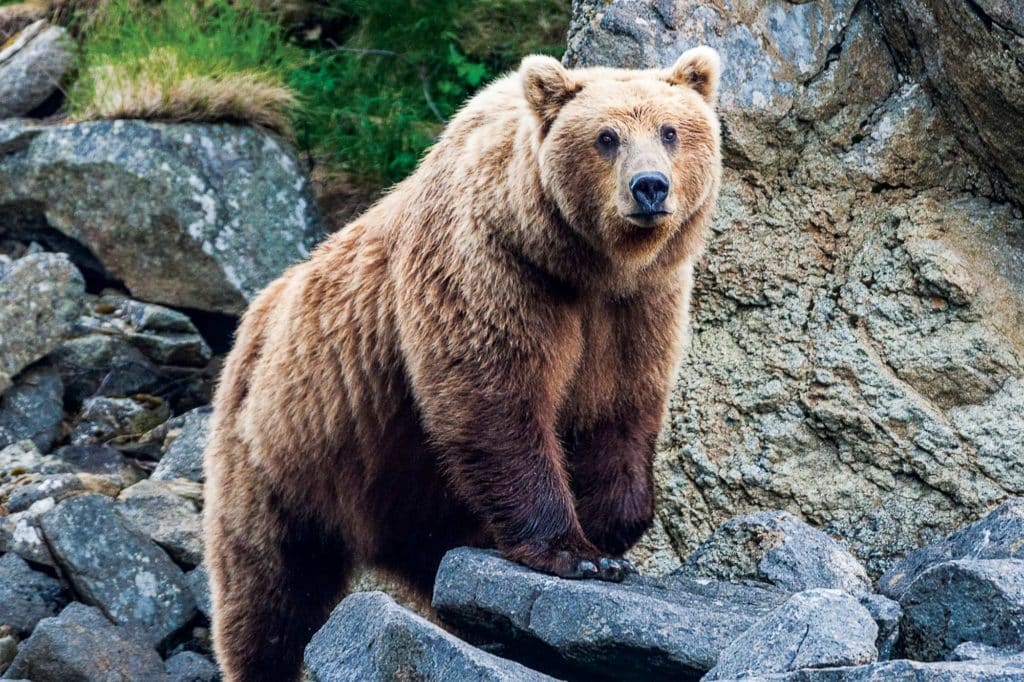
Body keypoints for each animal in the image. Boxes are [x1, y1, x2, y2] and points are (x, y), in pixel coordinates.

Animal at [203, 45, 724, 675]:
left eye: (670, 131)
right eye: (606, 137)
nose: (650, 187)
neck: (584, 266)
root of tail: (248, 328)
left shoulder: (639, 306)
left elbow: (621, 411)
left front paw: (607, 532)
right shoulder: (491, 270)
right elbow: (496, 401)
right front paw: (577, 553)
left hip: (398, 490)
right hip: (279, 456)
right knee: (270, 589)